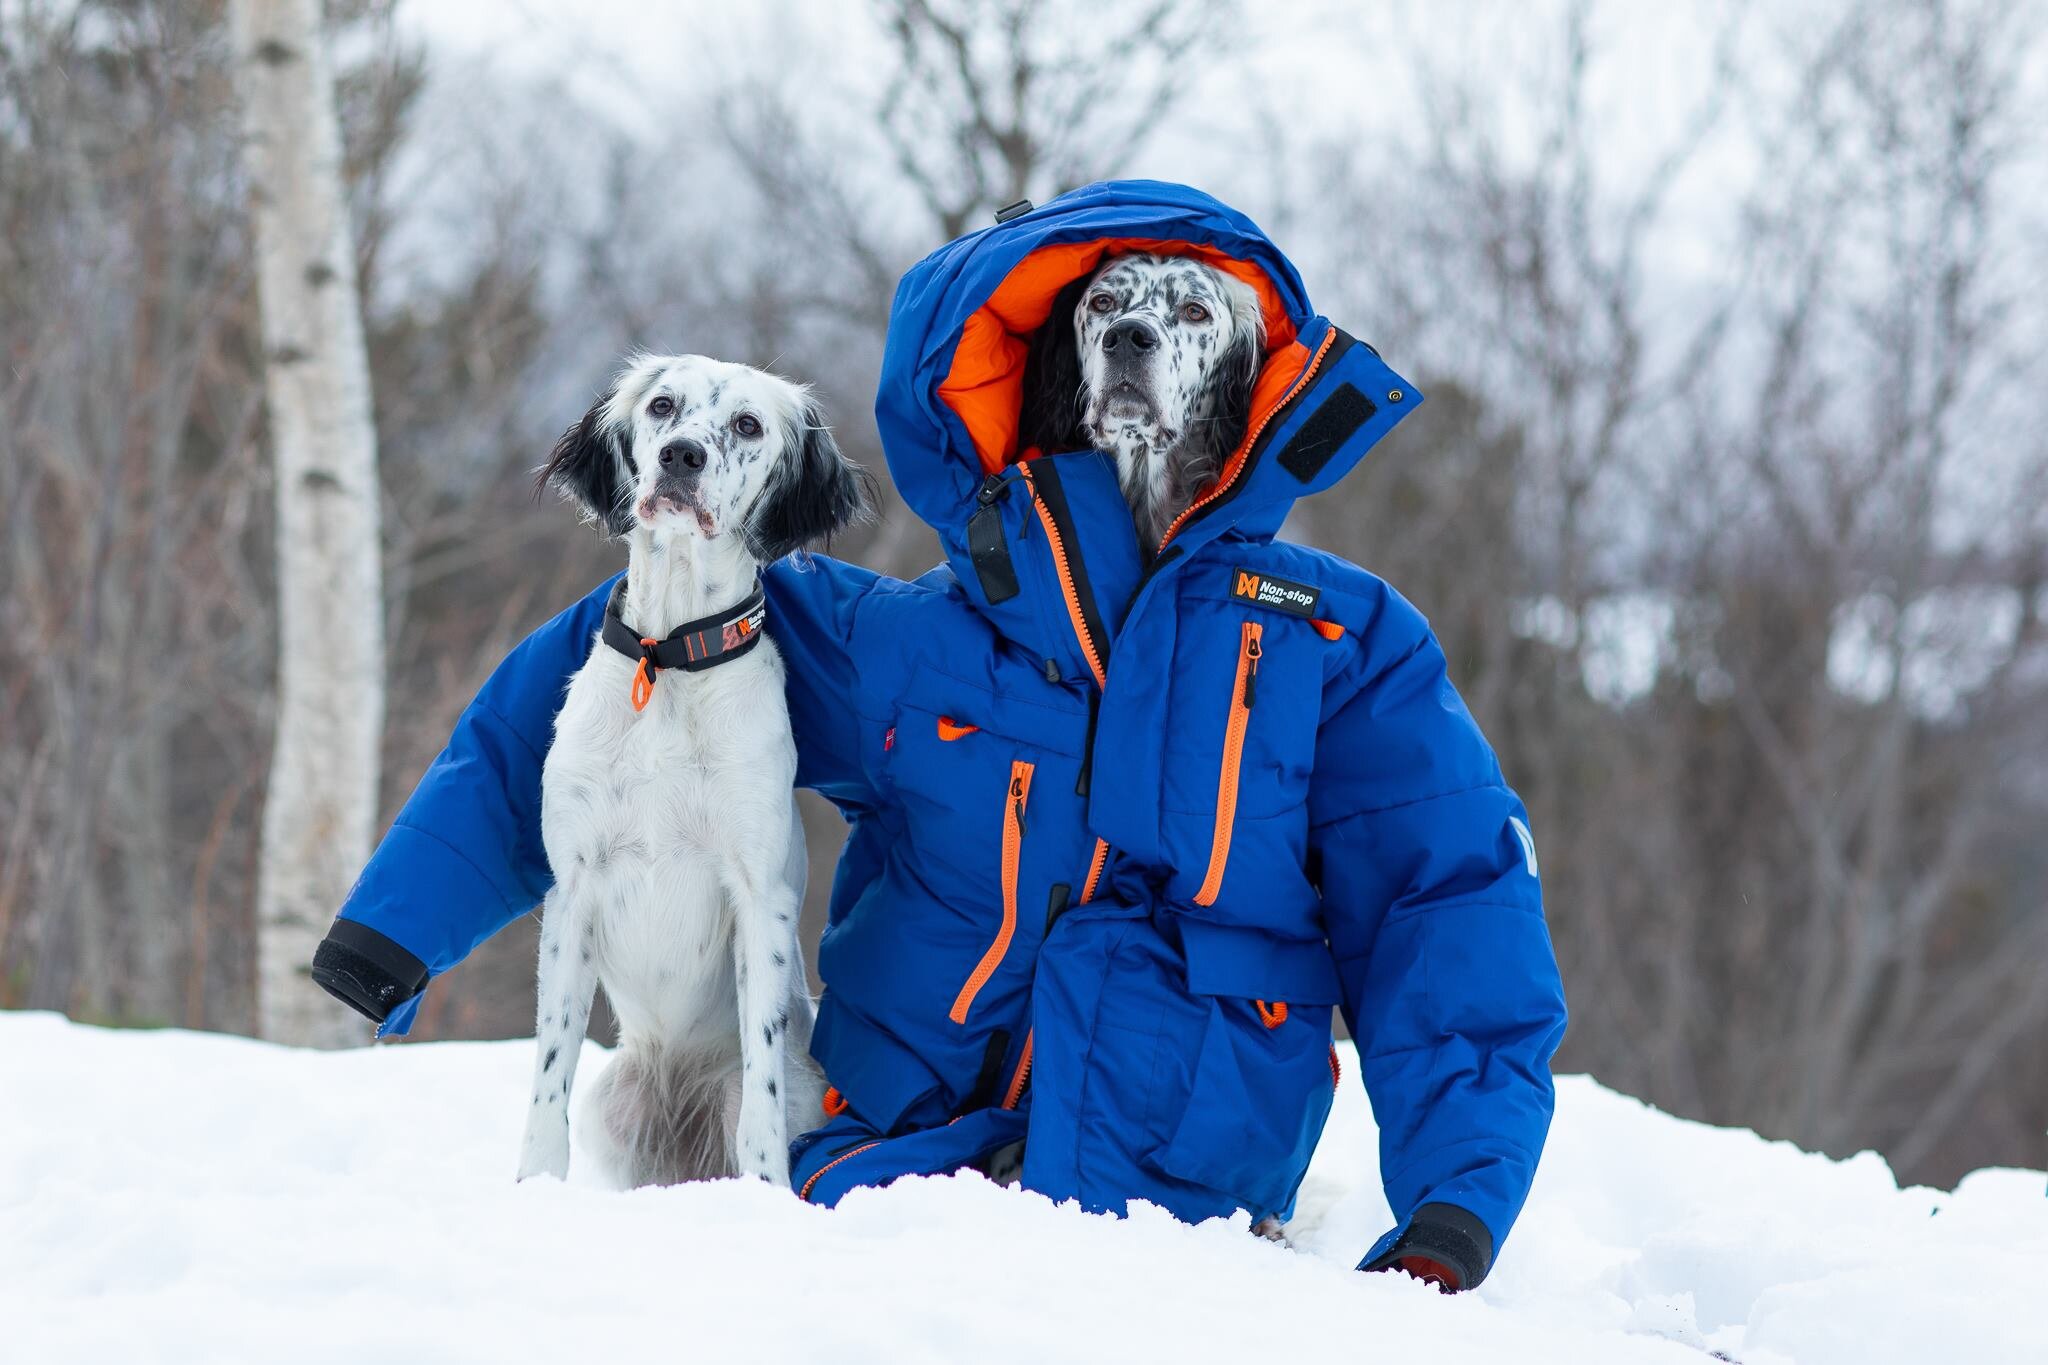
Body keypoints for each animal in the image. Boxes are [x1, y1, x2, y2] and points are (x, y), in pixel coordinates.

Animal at [311, 181, 1564, 1293]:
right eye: (663, 410)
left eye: (745, 424)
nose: (677, 461)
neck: (672, 666)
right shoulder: (573, 896)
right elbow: (544, 1075)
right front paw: (530, 1197)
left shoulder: (754, 900)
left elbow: (762, 1101)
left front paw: (763, 1210)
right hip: (624, 1104)